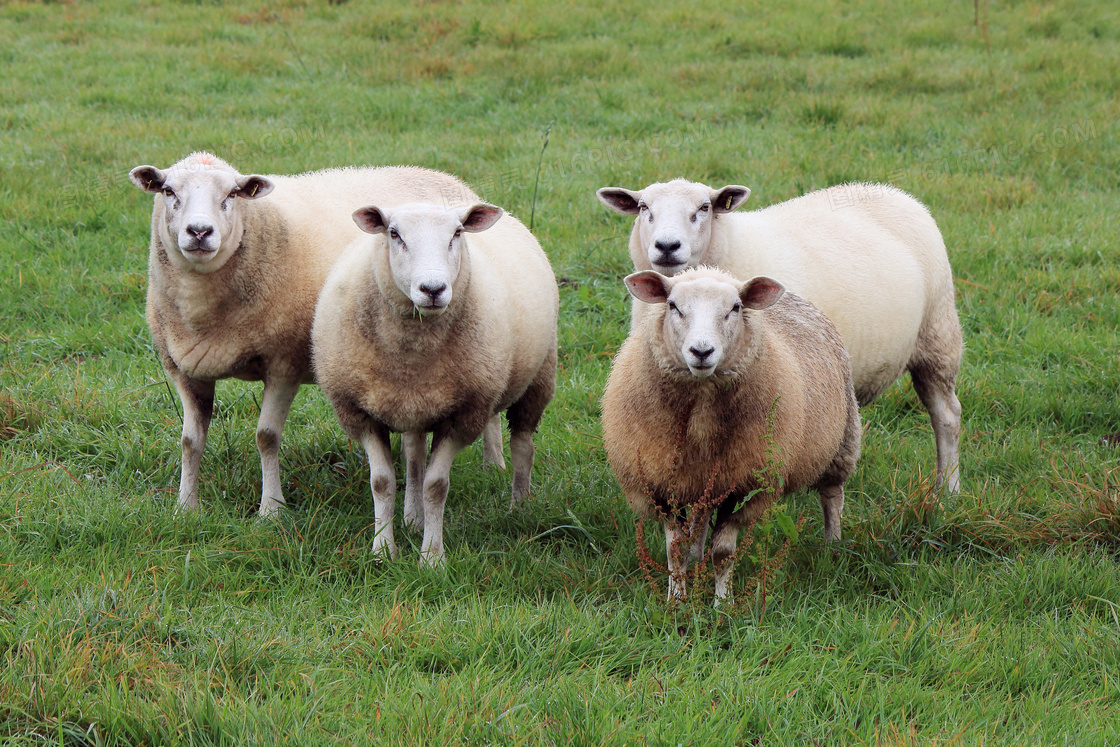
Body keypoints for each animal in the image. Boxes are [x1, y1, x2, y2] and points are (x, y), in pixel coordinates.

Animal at [128, 150, 488, 515]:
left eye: (231, 194)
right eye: (168, 191)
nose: (200, 231)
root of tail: (445, 177)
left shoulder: (284, 364)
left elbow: (266, 437)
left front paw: (271, 509)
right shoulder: (183, 369)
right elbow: (190, 441)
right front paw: (185, 507)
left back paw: (495, 467)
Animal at [311, 201, 560, 564]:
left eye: (457, 233)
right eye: (394, 233)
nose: (433, 289)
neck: (411, 356)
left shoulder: (464, 415)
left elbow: (436, 485)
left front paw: (431, 558)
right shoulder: (358, 412)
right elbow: (382, 481)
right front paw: (383, 551)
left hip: (539, 377)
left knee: (523, 444)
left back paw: (520, 507)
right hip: (415, 404)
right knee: (414, 455)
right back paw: (413, 517)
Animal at [595, 179, 963, 497]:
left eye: (704, 207)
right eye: (643, 207)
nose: (667, 246)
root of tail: (892, 191)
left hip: (938, 336)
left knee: (946, 416)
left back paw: (948, 489)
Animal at [604, 265, 855, 604]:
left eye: (735, 308)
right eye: (672, 305)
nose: (701, 351)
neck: (701, 417)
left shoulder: (746, 484)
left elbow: (723, 553)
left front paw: (722, 604)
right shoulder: (661, 484)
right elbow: (674, 549)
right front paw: (677, 600)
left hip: (842, 441)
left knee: (832, 496)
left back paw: (833, 546)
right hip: (704, 477)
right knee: (700, 518)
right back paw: (695, 554)